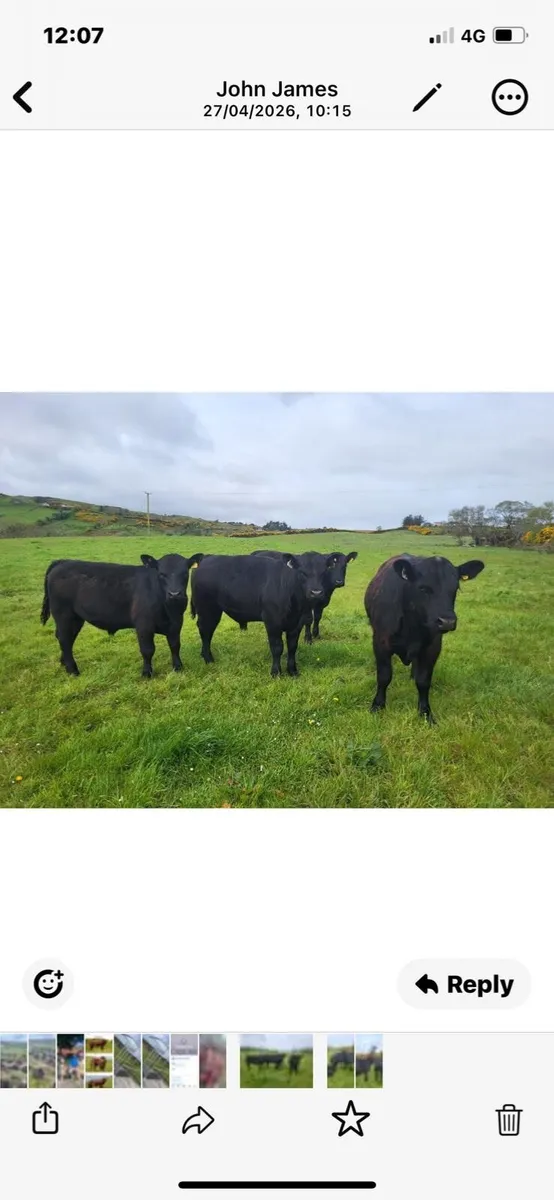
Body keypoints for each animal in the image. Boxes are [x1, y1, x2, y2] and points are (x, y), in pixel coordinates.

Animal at [40, 552, 204, 678]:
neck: (168, 608)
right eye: (161, 574)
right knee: (64, 639)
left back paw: (64, 663)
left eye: (185, 573)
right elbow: (147, 650)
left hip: (75, 618)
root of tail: (62, 562)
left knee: (66, 638)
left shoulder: (176, 623)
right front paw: (147, 673)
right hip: (64, 614)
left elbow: (175, 645)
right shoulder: (143, 626)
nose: (175, 594)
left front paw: (178, 667)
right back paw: (73, 670)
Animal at [190, 553, 335, 677]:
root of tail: (207, 557)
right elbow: (277, 647)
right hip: (207, 609)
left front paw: (292, 671)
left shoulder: (297, 624)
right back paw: (208, 659)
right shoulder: (272, 622)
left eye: (324, 571)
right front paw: (276, 672)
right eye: (302, 572)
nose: (316, 592)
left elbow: (292, 647)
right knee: (205, 631)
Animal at [364, 554, 485, 723]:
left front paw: (425, 713)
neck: (412, 626)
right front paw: (377, 706)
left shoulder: (432, 647)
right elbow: (384, 676)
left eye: (455, 588)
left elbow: (423, 681)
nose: (447, 621)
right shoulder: (381, 642)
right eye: (423, 588)